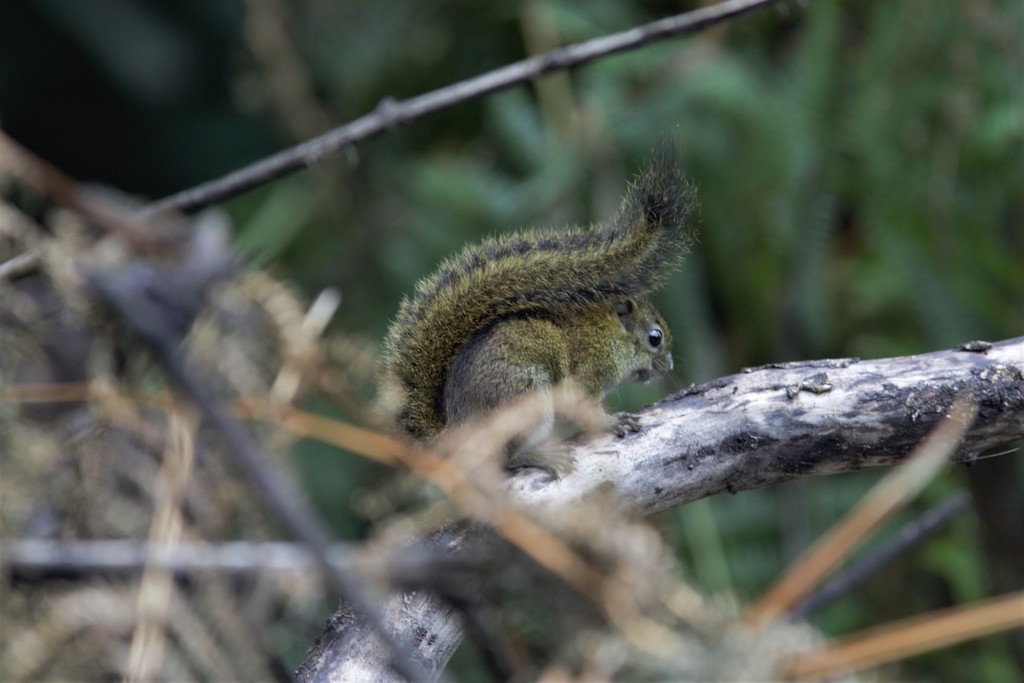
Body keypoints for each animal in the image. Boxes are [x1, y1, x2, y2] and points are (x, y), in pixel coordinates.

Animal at [377, 141, 698, 473]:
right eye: (655, 338)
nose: (669, 367)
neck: (609, 334)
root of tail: (457, 433)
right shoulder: (588, 372)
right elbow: (586, 408)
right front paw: (612, 422)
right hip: (524, 397)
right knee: (505, 457)